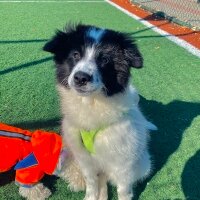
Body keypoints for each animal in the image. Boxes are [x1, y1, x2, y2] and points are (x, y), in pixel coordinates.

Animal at [43, 24, 156, 200]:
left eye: (104, 60)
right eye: (75, 54)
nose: (80, 78)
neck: (92, 105)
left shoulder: (123, 164)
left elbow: (123, 191)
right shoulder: (84, 159)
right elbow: (91, 183)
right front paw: (90, 197)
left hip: (144, 164)